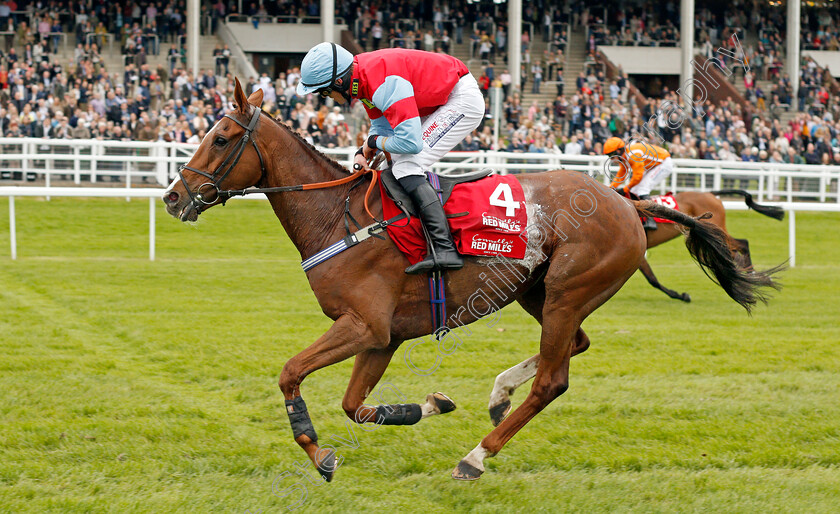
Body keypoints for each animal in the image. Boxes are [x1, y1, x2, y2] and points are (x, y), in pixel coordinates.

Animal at [640, 189, 784, 300]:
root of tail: (710, 193)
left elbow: (652, 279)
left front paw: (682, 296)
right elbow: (651, 278)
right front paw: (680, 295)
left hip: (716, 229)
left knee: (743, 244)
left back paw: (753, 276)